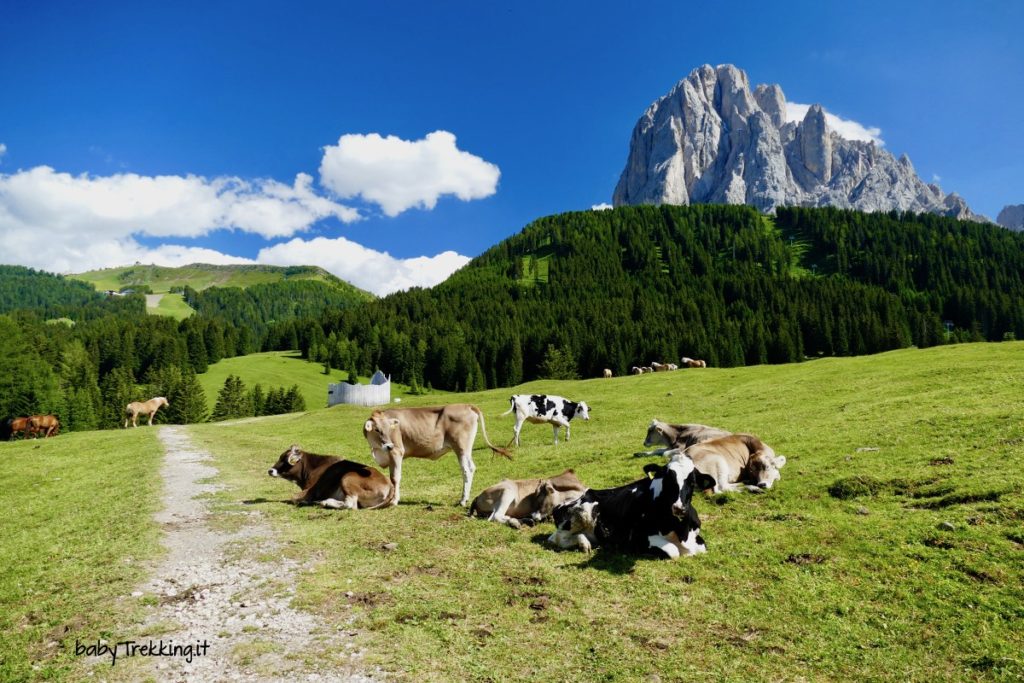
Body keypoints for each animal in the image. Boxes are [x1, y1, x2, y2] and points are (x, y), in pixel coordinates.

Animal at [364, 405, 512, 507]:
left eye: (390, 429)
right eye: (377, 429)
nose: (389, 445)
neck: (376, 449)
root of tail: (467, 405)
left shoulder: (397, 452)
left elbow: (395, 478)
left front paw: (394, 501)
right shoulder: (389, 456)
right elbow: (390, 478)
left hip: (461, 447)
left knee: (466, 470)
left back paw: (462, 500)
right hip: (467, 450)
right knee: (472, 467)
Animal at [548, 454, 716, 561]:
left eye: (692, 482)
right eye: (667, 480)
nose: (679, 508)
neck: (681, 532)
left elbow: (701, 547)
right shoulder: (638, 537)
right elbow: (672, 551)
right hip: (581, 514)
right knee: (556, 538)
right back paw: (583, 543)